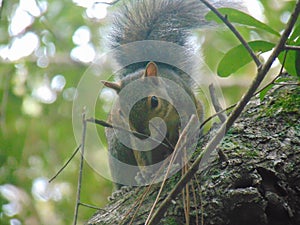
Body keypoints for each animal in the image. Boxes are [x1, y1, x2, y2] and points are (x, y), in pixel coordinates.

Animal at [102, 0, 240, 189]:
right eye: (120, 112)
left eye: (154, 101)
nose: (142, 134)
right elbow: (141, 153)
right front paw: (145, 173)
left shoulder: (187, 105)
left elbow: (190, 123)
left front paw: (184, 141)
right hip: (118, 147)